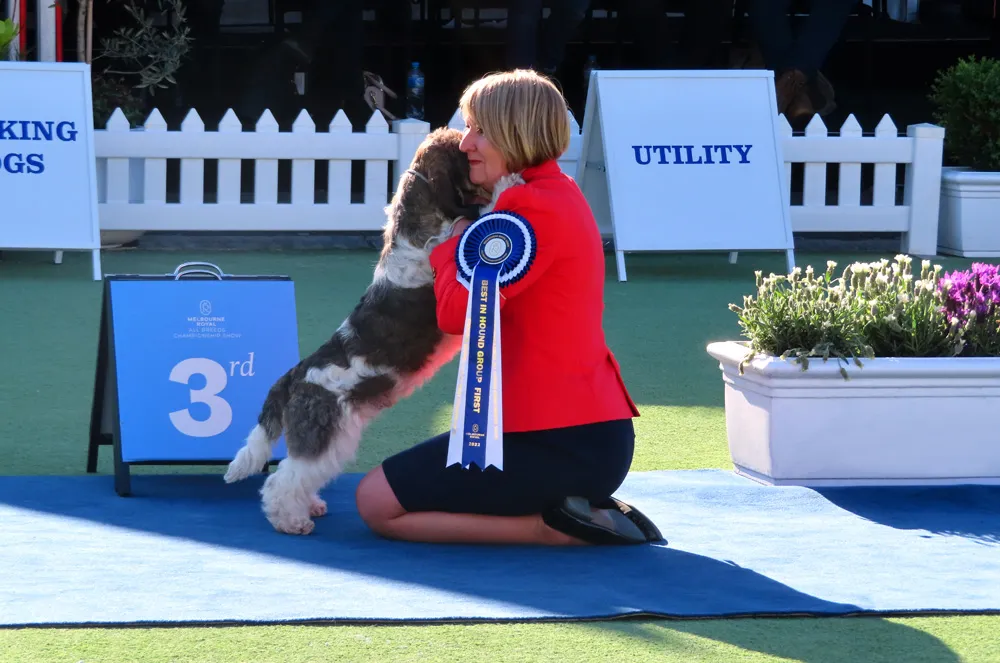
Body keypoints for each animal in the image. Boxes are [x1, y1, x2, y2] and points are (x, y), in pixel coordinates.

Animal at [223, 128, 496, 536]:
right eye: (461, 148)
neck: (418, 228)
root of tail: (293, 378)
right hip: (327, 433)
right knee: (283, 479)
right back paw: (291, 521)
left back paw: (311, 506)